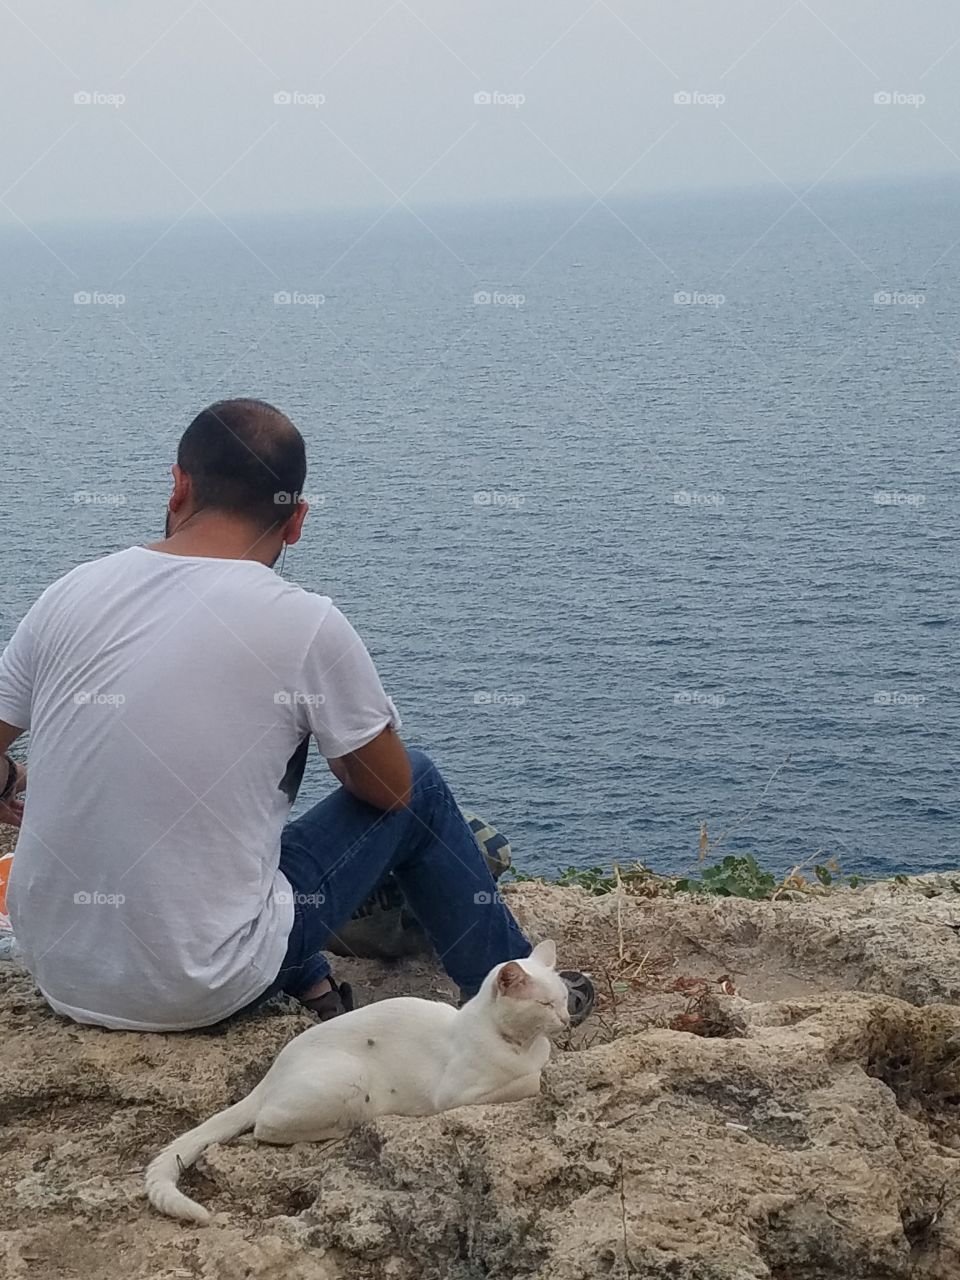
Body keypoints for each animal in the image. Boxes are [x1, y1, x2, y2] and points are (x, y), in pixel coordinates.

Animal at [146, 942, 568, 1218]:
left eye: (563, 998)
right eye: (545, 1004)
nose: (566, 1018)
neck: (523, 1045)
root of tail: (273, 1070)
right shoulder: (457, 1094)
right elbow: (527, 1081)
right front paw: (541, 1076)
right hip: (348, 1076)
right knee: (265, 1127)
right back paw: (344, 1127)